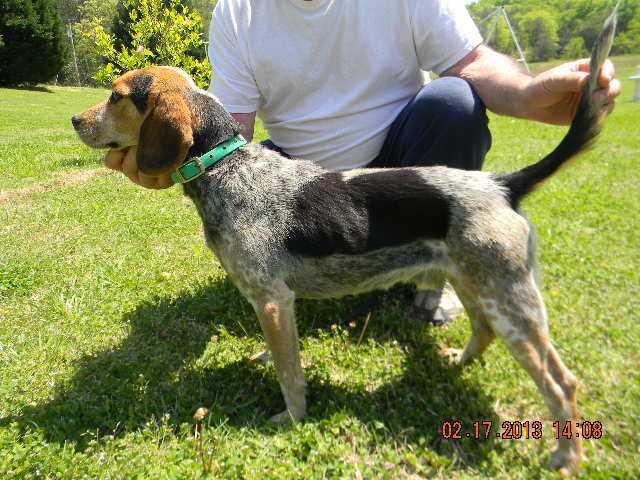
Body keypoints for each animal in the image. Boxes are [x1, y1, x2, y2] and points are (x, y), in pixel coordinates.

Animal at [72, 9, 616, 474]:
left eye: (117, 96)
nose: (75, 120)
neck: (227, 167)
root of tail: (503, 184)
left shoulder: (272, 299)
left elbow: (290, 374)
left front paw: (291, 417)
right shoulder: (273, 304)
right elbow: (280, 352)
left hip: (512, 303)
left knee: (563, 382)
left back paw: (565, 457)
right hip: (476, 284)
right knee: (482, 332)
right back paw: (454, 363)